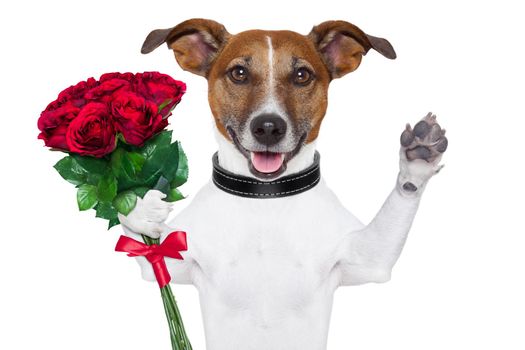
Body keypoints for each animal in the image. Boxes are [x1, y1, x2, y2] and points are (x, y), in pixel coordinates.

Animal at [117, 19, 446, 350]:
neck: (266, 198)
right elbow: (144, 243)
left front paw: (418, 157)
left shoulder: (369, 259)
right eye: (239, 73)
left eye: (302, 75)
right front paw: (137, 206)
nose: (268, 127)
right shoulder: (169, 264)